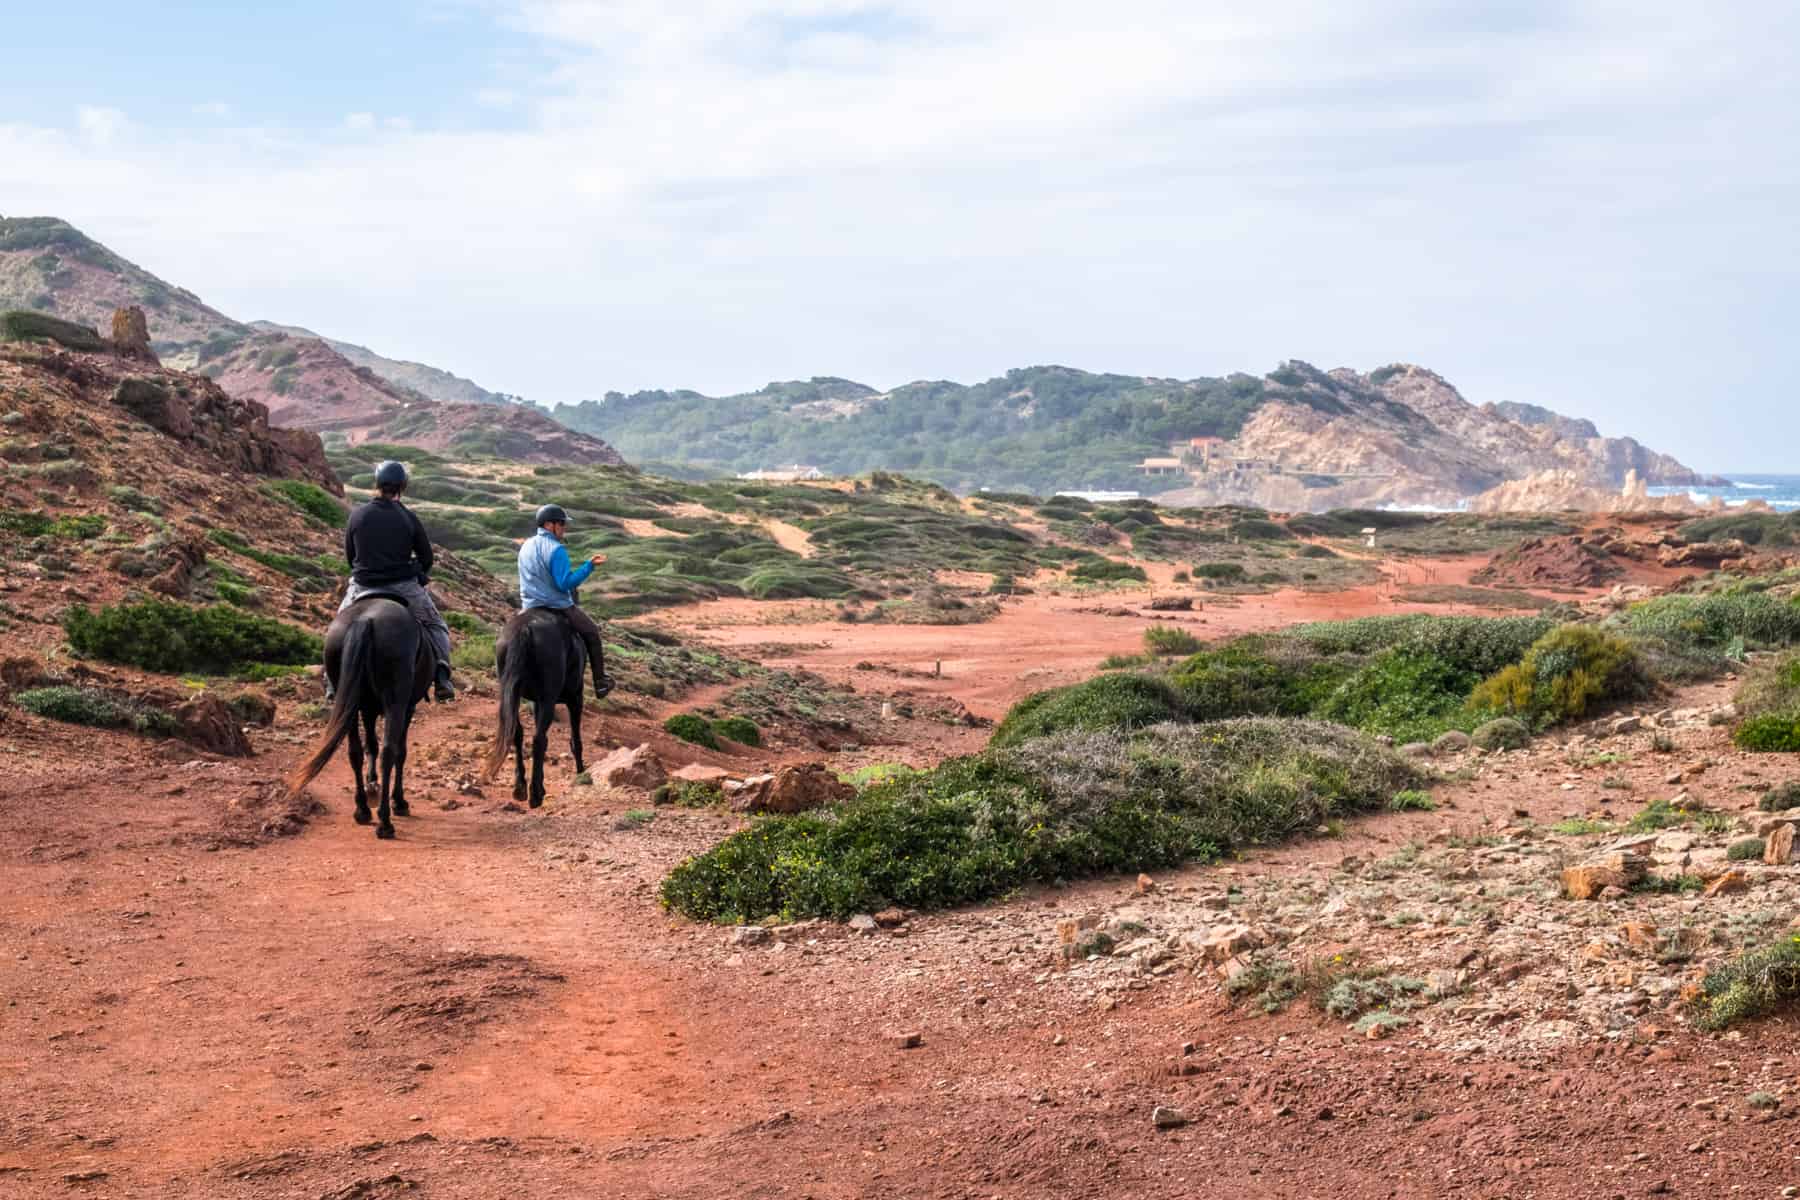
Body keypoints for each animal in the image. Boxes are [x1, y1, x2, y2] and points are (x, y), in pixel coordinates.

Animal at [284, 597, 432, 841]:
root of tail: (365, 619)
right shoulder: (407, 707)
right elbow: (399, 752)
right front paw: (399, 801)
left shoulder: (367, 709)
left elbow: (370, 745)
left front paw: (372, 784)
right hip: (395, 701)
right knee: (389, 752)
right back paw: (385, 822)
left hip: (349, 702)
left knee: (354, 752)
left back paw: (362, 809)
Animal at [482, 611, 594, 805]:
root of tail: (525, 628)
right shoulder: (575, 698)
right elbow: (575, 740)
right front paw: (581, 773)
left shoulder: (536, 702)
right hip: (550, 698)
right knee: (538, 739)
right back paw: (535, 794)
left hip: (512, 693)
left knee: (517, 733)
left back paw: (520, 787)